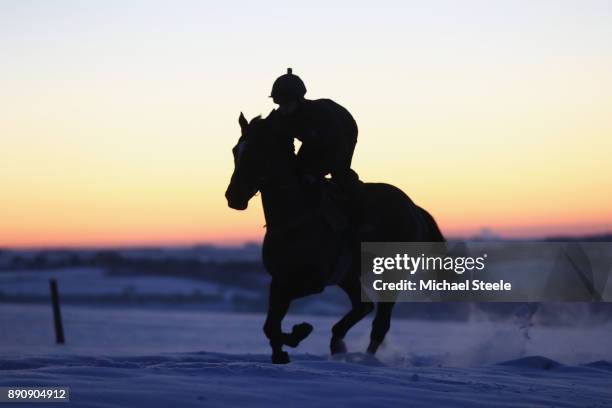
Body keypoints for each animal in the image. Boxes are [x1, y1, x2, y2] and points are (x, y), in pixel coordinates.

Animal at [225, 112, 444, 364]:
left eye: (260, 150)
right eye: (236, 150)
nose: (234, 196)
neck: (294, 218)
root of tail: (414, 209)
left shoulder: (312, 282)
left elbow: (274, 323)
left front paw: (299, 332)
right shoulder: (279, 280)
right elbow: (270, 324)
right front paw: (281, 351)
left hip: (392, 275)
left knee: (380, 323)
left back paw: (365, 358)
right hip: (348, 276)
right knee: (363, 306)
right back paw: (338, 341)